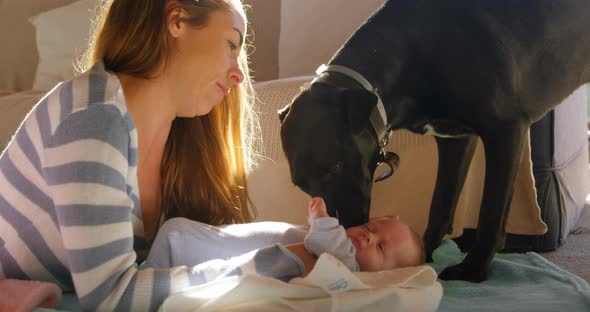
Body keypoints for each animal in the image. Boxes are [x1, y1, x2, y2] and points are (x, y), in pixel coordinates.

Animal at [278, 0, 590, 282]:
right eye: (302, 185)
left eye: (335, 167)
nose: (348, 229)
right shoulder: (455, 140)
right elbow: (440, 204)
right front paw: (423, 252)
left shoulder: (505, 130)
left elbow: (491, 211)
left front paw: (473, 270)